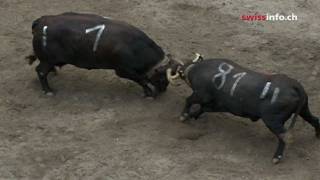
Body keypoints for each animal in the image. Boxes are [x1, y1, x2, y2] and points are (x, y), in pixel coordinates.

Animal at [26, 12, 178, 97]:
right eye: (162, 79)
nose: (163, 91)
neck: (137, 47)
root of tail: (41, 21)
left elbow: (143, 79)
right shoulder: (123, 71)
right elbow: (142, 79)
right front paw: (149, 93)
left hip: (50, 60)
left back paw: (53, 72)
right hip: (48, 60)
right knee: (40, 71)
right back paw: (48, 91)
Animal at [166, 53, 318, 163]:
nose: (169, 59)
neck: (194, 69)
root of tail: (295, 85)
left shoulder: (200, 95)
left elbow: (188, 101)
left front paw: (183, 116)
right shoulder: (217, 105)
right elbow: (201, 109)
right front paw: (191, 116)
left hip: (272, 121)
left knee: (284, 136)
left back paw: (277, 157)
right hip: (304, 110)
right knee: (315, 120)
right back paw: (317, 135)